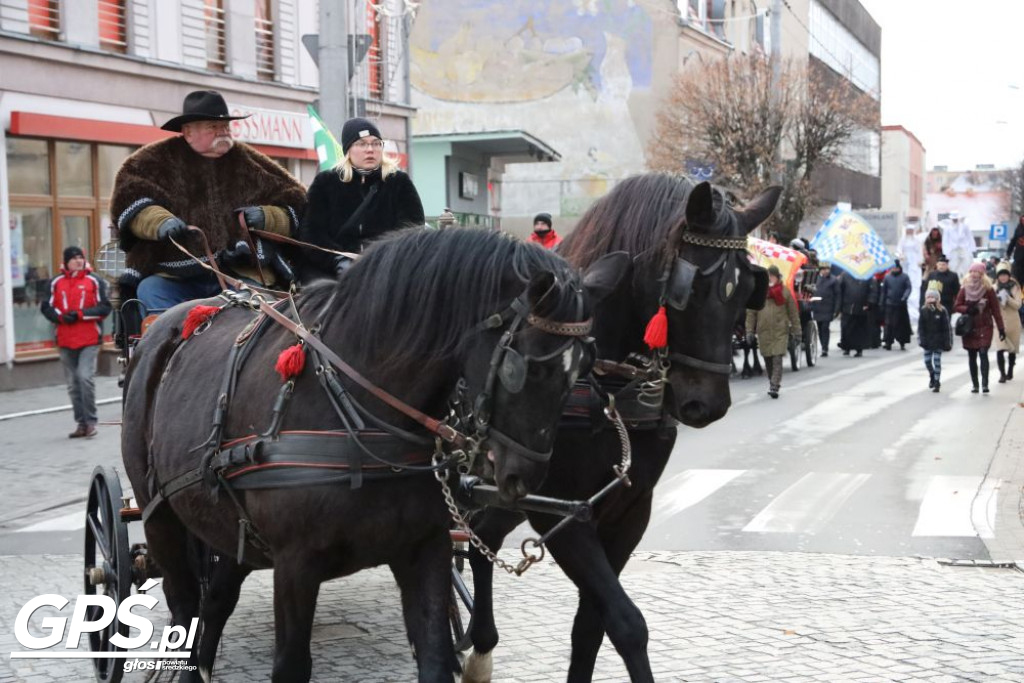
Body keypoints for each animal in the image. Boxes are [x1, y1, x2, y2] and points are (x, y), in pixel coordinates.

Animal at [122, 229, 626, 683]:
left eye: (584, 368)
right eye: (526, 367)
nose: (525, 477)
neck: (356, 412)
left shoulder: (424, 549)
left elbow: (436, 659)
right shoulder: (295, 564)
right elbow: (290, 666)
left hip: (231, 527)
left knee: (215, 601)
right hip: (160, 518)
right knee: (185, 607)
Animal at [460, 176, 778, 683]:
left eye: (748, 287)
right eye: (693, 288)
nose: (707, 405)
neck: (603, 392)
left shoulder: (629, 510)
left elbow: (592, 625)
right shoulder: (560, 513)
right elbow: (626, 622)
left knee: (482, 533)